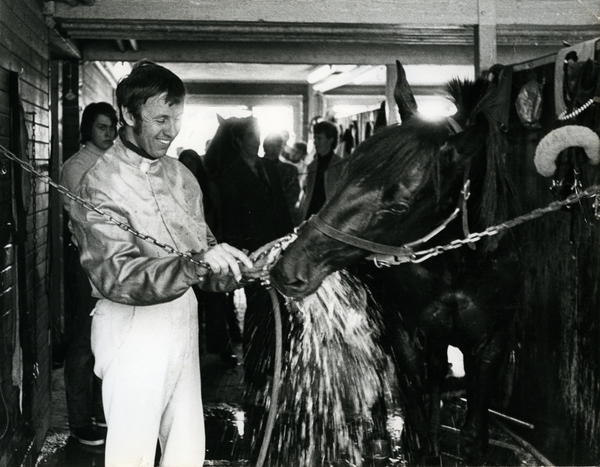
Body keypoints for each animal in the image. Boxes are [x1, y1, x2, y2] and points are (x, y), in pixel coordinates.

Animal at [270, 61, 524, 464]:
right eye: (347, 172)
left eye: (400, 205)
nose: (288, 270)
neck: (456, 266)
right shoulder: (406, 336)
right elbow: (416, 424)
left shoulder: (490, 345)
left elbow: (473, 436)